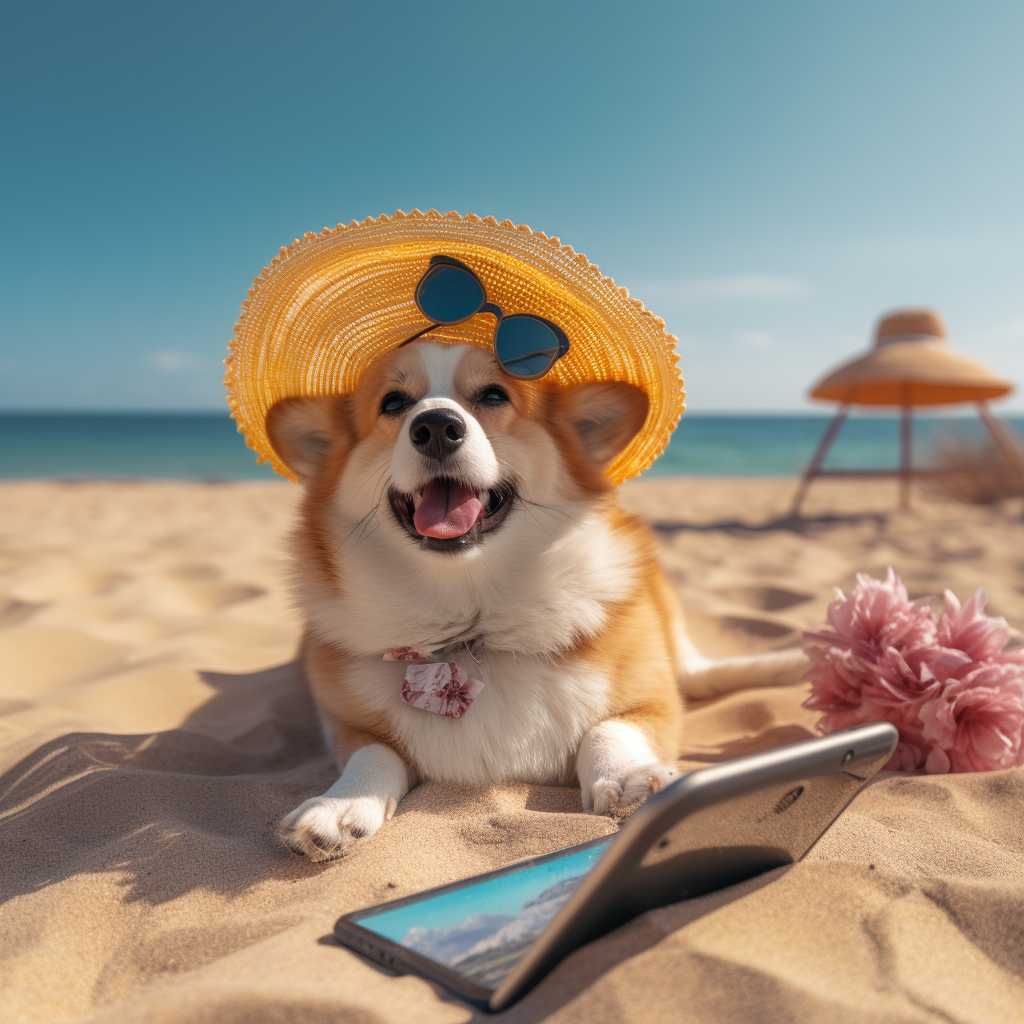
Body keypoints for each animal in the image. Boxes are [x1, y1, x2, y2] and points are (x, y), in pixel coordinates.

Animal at [266, 339, 806, 860]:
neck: (472, 622)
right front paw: (340, 805)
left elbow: (609, 729)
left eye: (493, 395)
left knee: (700, 672)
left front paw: (629, 779)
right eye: (393, 403)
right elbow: (373, 753)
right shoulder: (346, 726)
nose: (436, 427)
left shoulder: (652, 701)